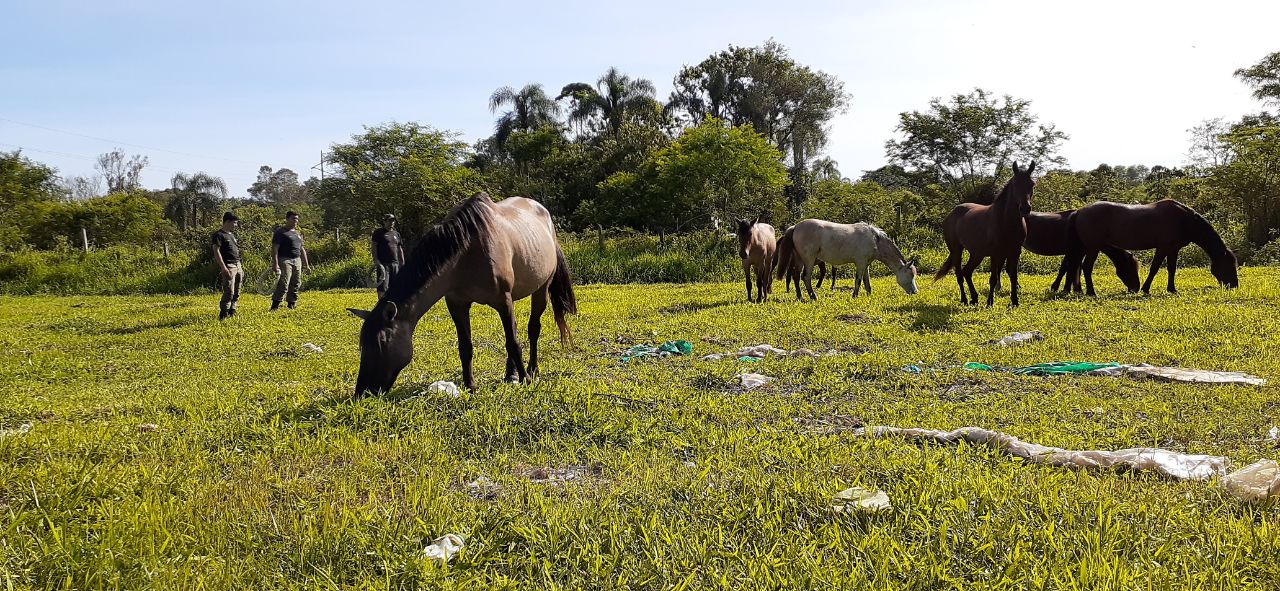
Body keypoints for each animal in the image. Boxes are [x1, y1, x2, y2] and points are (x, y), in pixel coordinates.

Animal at [345, 194, 576, 394]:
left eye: (382, 342)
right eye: (362, 345)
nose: (363, 392)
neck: (467, 252)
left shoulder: (503, 300)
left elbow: (513, 343)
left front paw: (526, 380)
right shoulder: (457, 304)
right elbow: (466, 346)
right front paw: (470, 386)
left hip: (541, 289)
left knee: (533, 329)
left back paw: (531, 370)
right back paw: (510, 374)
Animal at [773, 218, 916, 300]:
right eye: (911, 275)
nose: (915, 292)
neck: (875, 240)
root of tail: (795, 227)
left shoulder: (865, 264)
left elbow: (867, 281)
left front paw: (869, 295)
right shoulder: (860, 263)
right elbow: (858, 280)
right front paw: (855, 296)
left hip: (799, 260)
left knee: (796, 277)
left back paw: (800, 297)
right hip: (809, 260)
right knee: (805, 277)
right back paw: (813, 296)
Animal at [936, 162, 1034, 309]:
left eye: (1032, 184)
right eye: (1015, 184)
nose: (1025, 208)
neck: (1006, 221)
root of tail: (952, 213)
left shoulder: (1015, 252)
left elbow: (1013, 276)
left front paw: (1015, 301)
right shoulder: (996, 254)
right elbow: (993, 278)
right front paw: (989, 303)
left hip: (977, 254)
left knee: (967, 272)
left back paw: (974, 298)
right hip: (956, 250)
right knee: (959, 274)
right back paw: (965, 299)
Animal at [1059, 199, 1239, 295]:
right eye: (1229, 266)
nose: (1235, 285)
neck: (1183, 219)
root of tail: (1079, 211)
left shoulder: (1173, 249)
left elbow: (1171, 269)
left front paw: (1172, 289)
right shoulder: (1163, 247)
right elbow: (1155, 268)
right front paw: (1146, 289)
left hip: (1085, 247)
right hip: (1093, 247)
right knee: (1086, 267)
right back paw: (1091, 292)